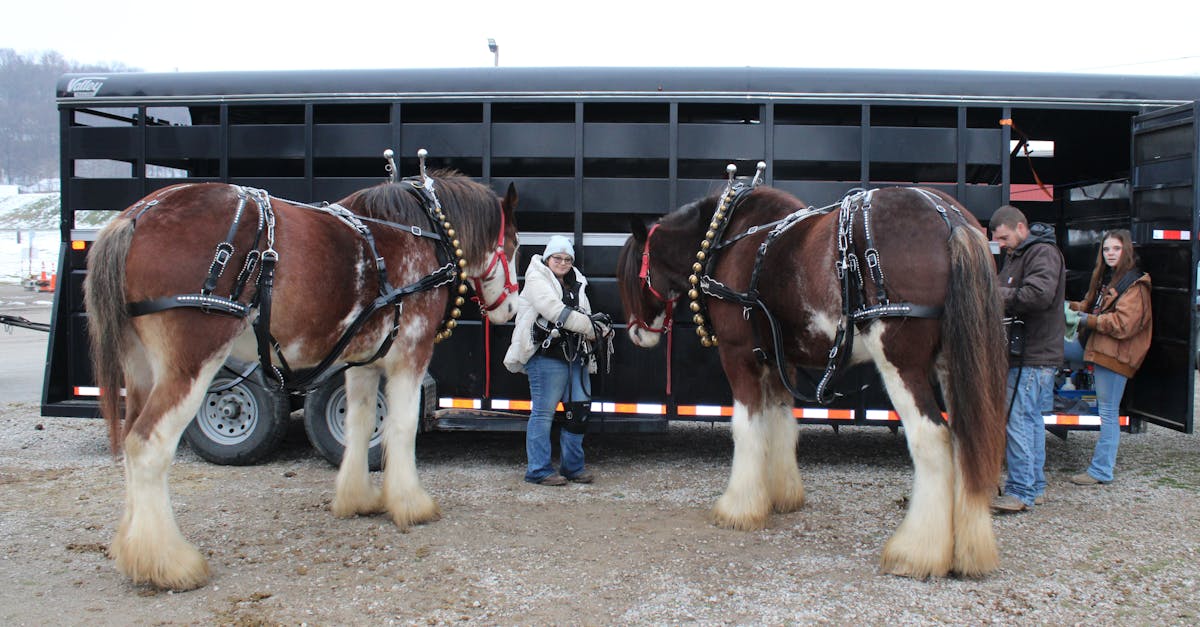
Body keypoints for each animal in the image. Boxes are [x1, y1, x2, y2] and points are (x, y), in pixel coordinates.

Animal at [84, 168, 520, 590]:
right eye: (514, 245)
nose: (512, 308)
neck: (423, 231)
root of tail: (135, 216)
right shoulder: (411, 352)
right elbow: (402, 426)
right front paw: (411, 504)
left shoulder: (363, 361)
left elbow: (360, 423)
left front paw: (358, 497)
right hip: (192, 361)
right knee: (148, 446)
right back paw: (168, 562)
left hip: (141, 368)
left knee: (130, 439)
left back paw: (133, 551)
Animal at [616, 179, 1008, 578]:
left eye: (631, 274)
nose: (636, 333)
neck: (727, 239)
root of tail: (951, 220)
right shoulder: (778, 360)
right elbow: (779, 422)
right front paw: (780, 495)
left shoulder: (738, 354)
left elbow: (746, 426)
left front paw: (739, 507)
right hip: (952, 363)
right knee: (965, 438)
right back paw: (970, 551)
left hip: (902, 364)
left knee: (932, 438)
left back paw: (917, 551)